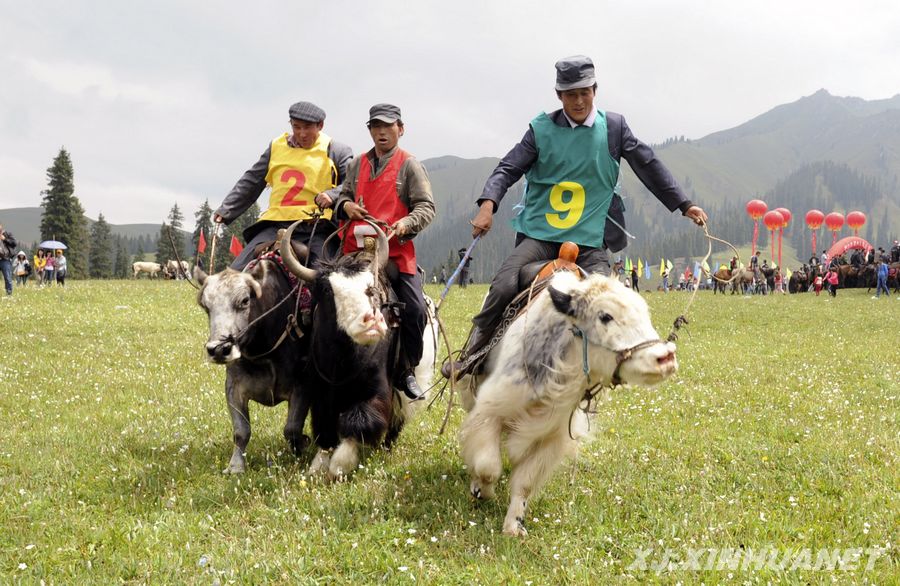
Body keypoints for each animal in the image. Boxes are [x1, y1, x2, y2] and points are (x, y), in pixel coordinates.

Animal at [195, 252, 312, 474]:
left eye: (244, 300)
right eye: (205, 306)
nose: (218, 350)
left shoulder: (303, 385)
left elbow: (292, 428)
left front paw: (303, 447)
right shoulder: (234, 387)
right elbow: (241, 430)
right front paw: (235, 466)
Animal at [282, 219, 436, 480]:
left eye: (371, 288)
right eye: (327, 291)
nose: (372, 322)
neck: (343, 357)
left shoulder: (378, 390)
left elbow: (362, 421)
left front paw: (338, 466)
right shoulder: (321, 391)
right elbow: (324, 426)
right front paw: (318, 466)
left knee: (398, 417)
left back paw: (386, 448)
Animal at [458, 270, 676, 532]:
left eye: (644, 312)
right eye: (605, 316)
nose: (665, 357)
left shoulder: (553, 435)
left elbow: (525, 482)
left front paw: (514, 526)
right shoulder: (490, 408)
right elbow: (488, 466)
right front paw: (482, 490)